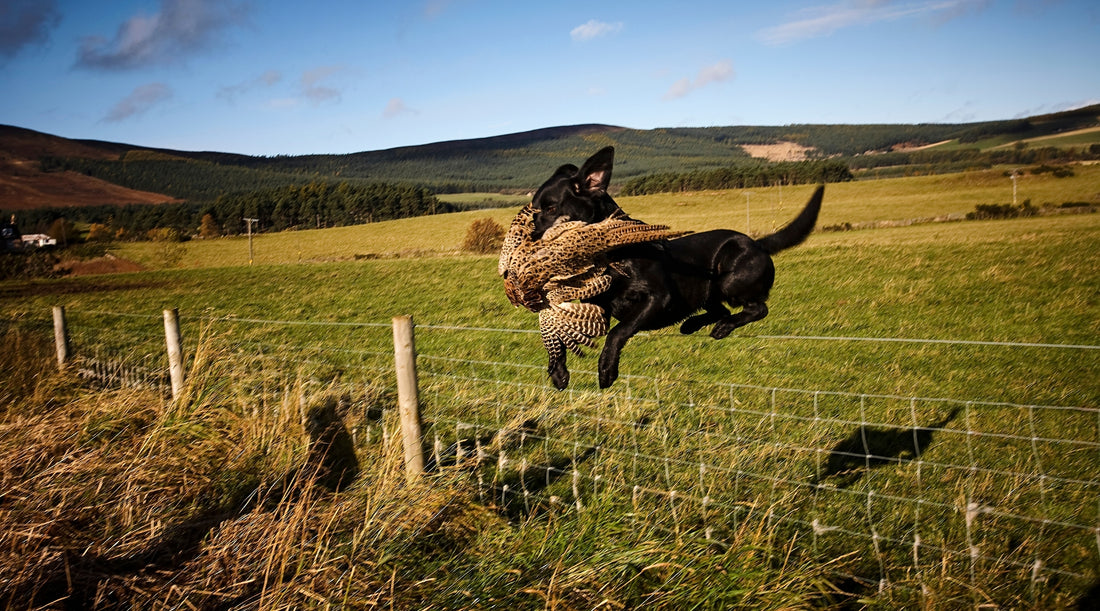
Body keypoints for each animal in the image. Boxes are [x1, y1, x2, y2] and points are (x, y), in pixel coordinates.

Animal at [525, 145, 827, 389]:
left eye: (550, 208)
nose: (528, 242)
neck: (612, 258)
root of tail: (759, 244)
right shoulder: (597, 309)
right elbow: (560, 336)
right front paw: (558, 371)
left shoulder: (659, 299)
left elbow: (617, 332)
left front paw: (606, 370)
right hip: (708, 290)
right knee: (721, 310)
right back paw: (693, 324)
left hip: (727, 280)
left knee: (757, 308)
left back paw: (722, 327)